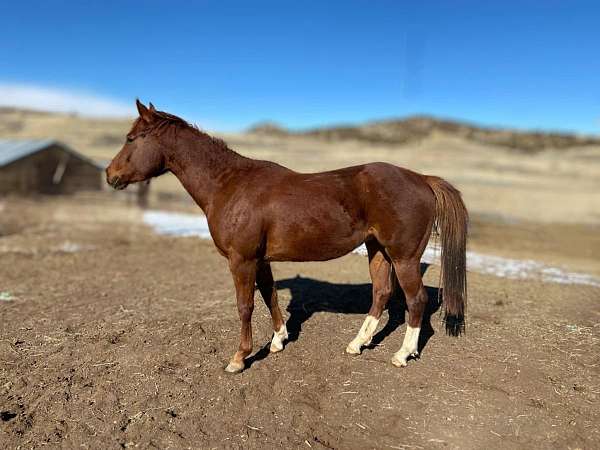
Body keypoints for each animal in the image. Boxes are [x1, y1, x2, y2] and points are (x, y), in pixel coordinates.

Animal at [106, 101, 468, 372]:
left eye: (131, 138)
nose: (110, 175)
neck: (229, 184)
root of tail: (422, 178)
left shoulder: (242, 260)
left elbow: (245, 305)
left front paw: (240, 358)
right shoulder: (260, 260)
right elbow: (269, 296)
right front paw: (279, 340)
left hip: (403, 256)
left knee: (415, 300)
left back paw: (402, 354)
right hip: (377, 249)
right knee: (381, 293)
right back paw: (357, 344)